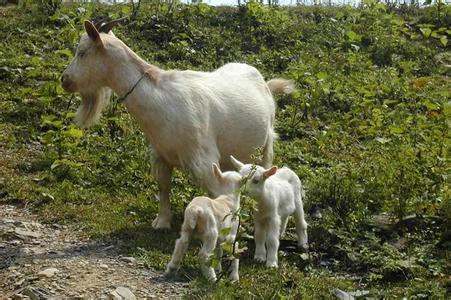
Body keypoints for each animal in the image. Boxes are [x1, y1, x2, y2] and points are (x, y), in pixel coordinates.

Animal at [61, 19, 294, 230]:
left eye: (82, 52)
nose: (65, 80)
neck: (162, 101)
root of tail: (264, 81)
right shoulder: (161, 154)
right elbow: (164, 187)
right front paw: (162, 222)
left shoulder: (204, 161)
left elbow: (217, 193)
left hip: (266, 145)